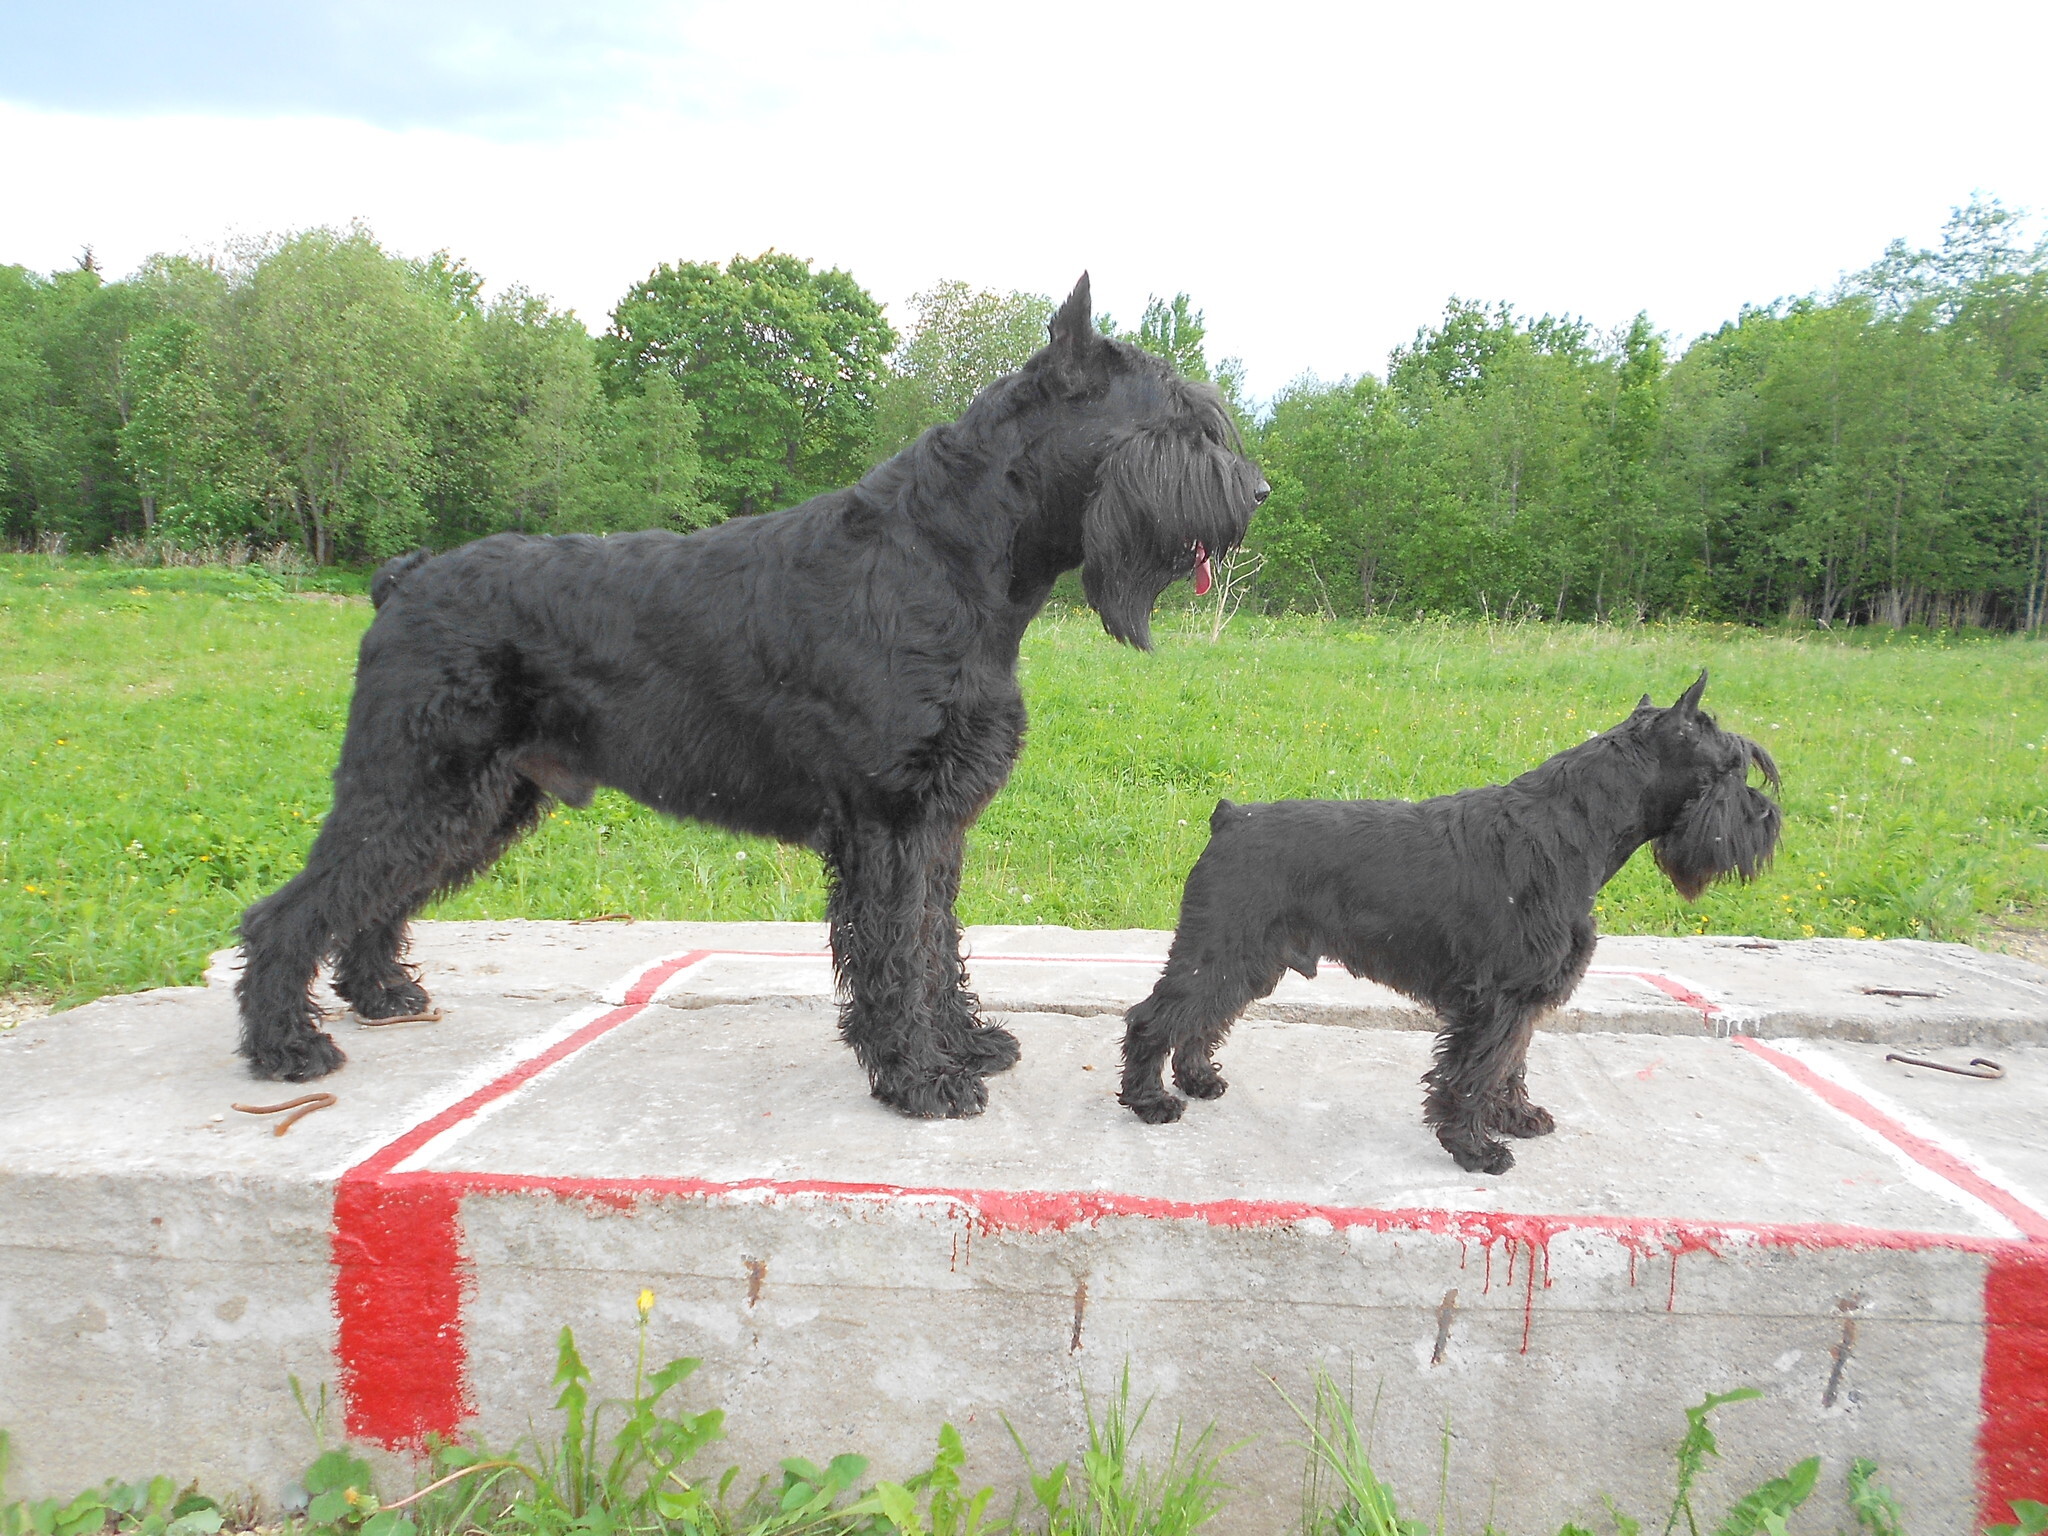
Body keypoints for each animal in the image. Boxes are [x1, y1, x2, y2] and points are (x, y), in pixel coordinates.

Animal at [235, 276, 1261, 1122]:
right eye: (1178, 421)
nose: (1253, 490)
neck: (949, 555)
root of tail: (405, 579)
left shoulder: (939, 822)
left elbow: (936, 941)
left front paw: (964, 1043)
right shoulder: (890, 821)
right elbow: (897, 951)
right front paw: (920, 1079)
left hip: (474, 799)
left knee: (374, 898)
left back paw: (380, 994)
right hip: (416, 781)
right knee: (288, 911)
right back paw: (287, 1045)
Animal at [1122, 675, 1777, 1179]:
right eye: (1733, 766)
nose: (1768, 818)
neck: (1574, 826)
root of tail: (1230, 818)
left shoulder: (1523, 999)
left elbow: (1510, 1064)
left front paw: (1516, 1119)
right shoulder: (1497, 998)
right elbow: (1474, 1071)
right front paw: (1476, 1148)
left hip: (1250, 961)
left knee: (1204, 1016)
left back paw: (1197, 1079)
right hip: (1220, 948)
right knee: (1154, 1016)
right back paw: (1149, 1101)